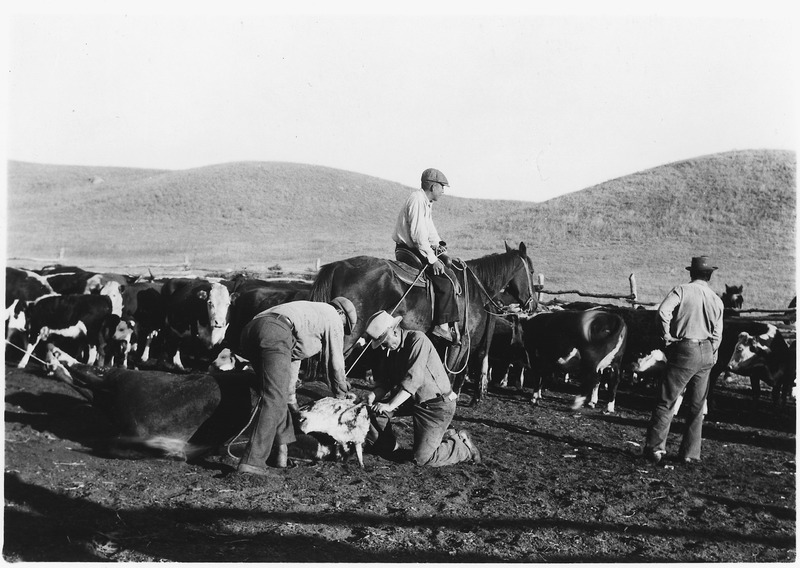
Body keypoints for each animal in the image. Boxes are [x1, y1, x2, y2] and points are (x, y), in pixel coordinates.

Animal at [306, 242, 536, 402]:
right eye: (531, 271)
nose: (532, 305)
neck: (476, 288)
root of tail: (338, 266)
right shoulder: (461, 342)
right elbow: (450, 376)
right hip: (350, 331)